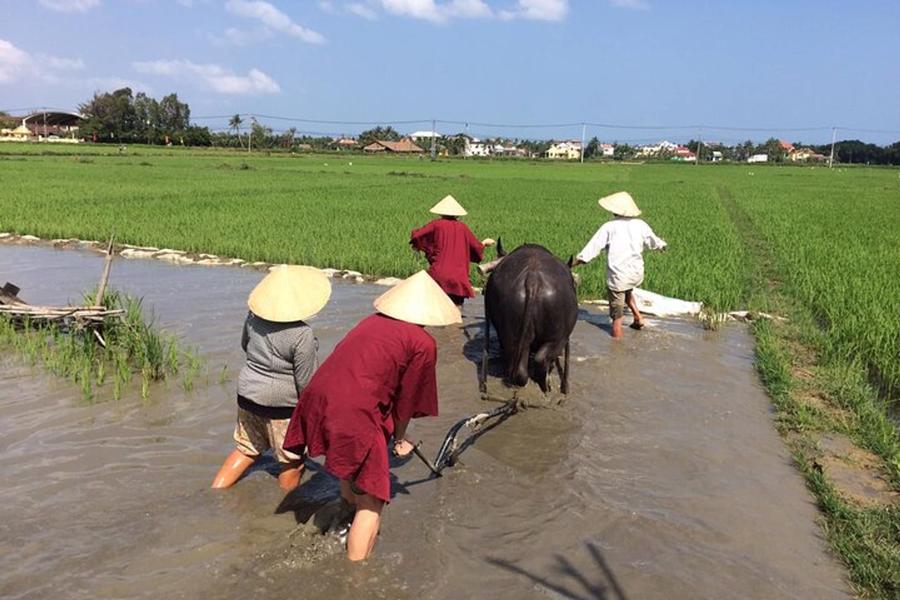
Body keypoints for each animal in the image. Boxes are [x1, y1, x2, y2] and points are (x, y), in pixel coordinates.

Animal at [482, 239, 580, 394]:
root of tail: (532, 280)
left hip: (512, 335)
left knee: (519, 368)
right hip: (558, 337)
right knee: (541, 359)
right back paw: (546, 385)